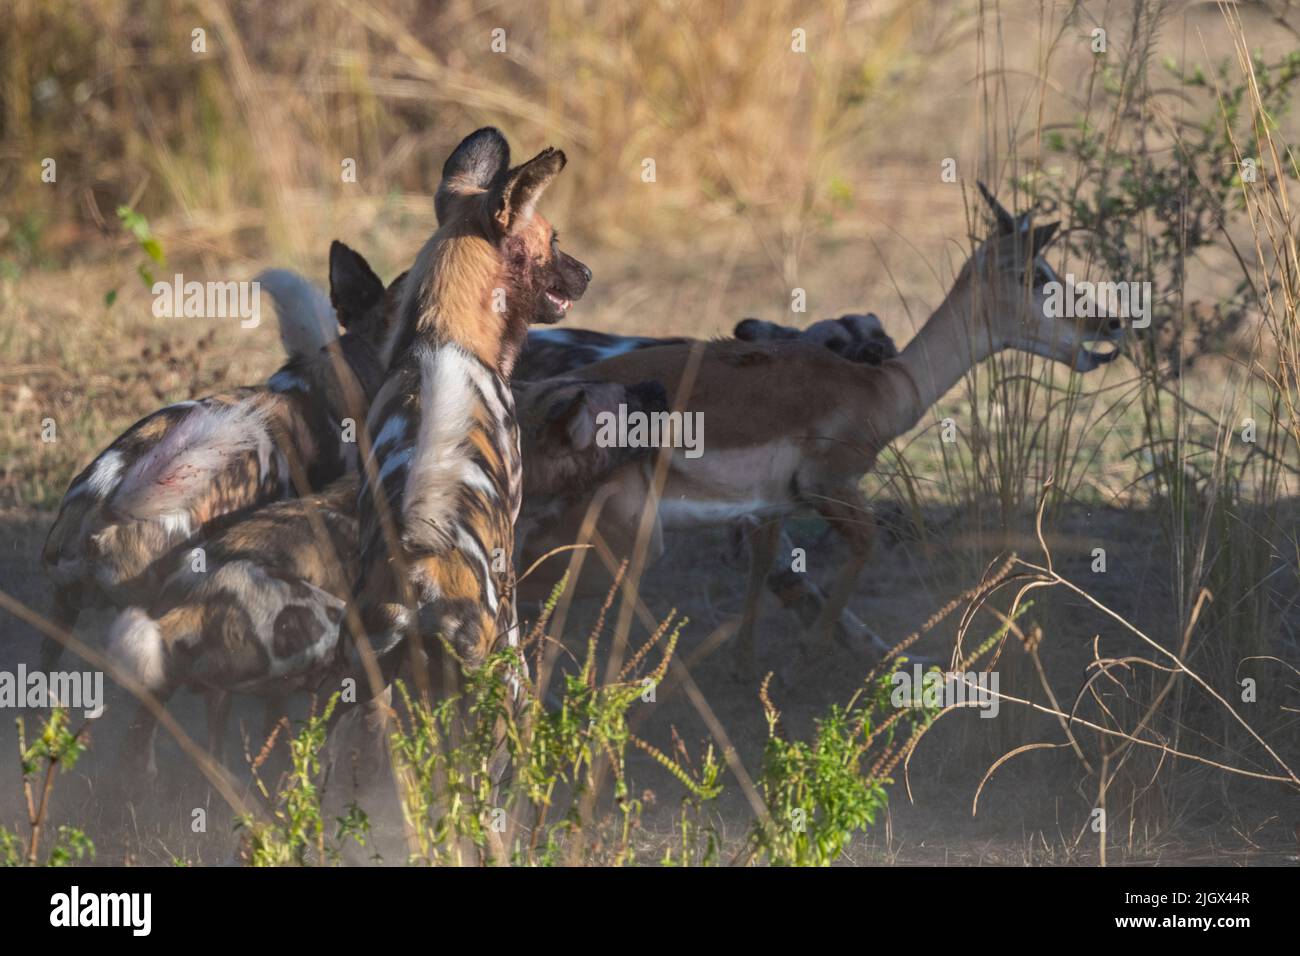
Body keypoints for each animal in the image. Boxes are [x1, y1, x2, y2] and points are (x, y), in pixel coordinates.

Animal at [523, 186, 1123, 676]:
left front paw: (746, 665)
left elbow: (766, 568)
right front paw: (807, 654)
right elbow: (865, 545)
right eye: (1038, 274)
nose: (1110, 324)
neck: (883, 386)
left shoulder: (770, 509)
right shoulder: (830, 487)